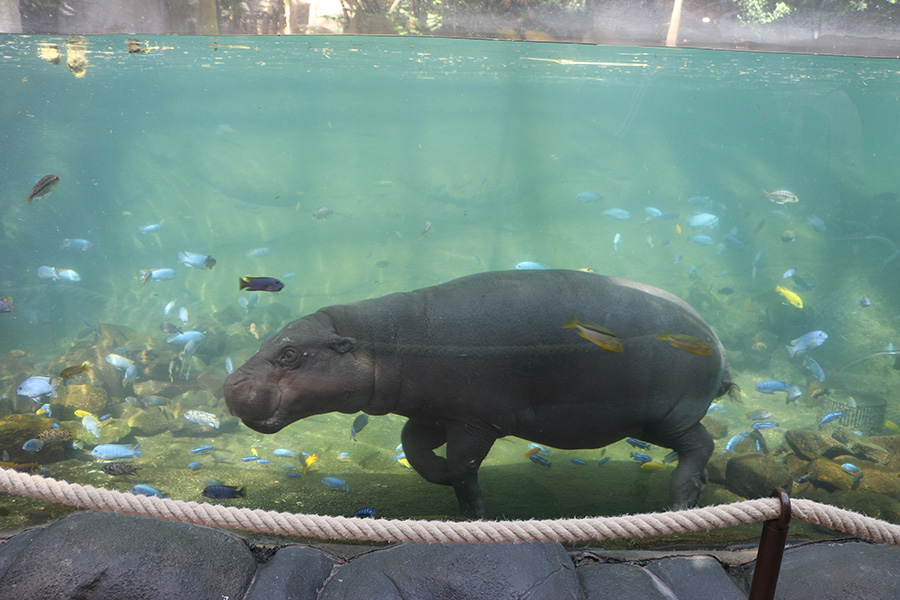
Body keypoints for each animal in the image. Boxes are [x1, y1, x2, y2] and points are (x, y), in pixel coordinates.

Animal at [224, 269, 733, 518]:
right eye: (275, 339)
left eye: (290, 354)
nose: (231, 385)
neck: (382, 341)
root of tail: (715, 335)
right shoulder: (433, 412)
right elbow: (414, 446)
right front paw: (440, 477)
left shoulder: (475, 421)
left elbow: (465, 462)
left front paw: (472, 509)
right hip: (651, 419)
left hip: (668, 414)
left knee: (701, 443)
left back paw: (681, 498)